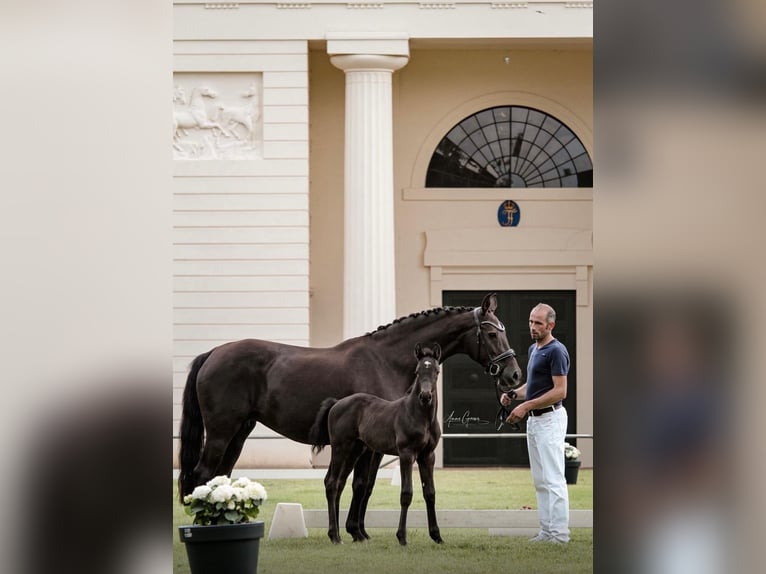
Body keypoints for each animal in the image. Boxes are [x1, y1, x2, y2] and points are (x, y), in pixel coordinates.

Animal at [309, 343, 444, 546]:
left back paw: (341, 534)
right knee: (332, 483)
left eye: (436, 371)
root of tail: (336, 403)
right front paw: (402, 537)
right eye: (417, 371)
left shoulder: (427, 456)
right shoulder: (406, 454)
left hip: (355, 451)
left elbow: (430, 493)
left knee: (338, 483)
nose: (425, 396)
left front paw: (437, 536)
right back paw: (335, 536)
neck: (419, 416)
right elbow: (406, 493)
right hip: (341, 448)